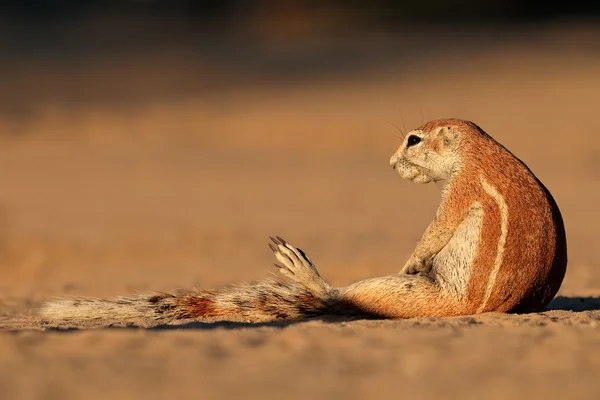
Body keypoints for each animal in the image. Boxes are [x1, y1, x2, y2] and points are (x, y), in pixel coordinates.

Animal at [41, 118, 568, 322]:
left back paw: (306, 272)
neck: (476, 150)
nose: (390, 162)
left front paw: (412, 258)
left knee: (345, 295)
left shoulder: (460, 190)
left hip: (411, 296)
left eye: (414, 140)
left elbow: (435, 230)